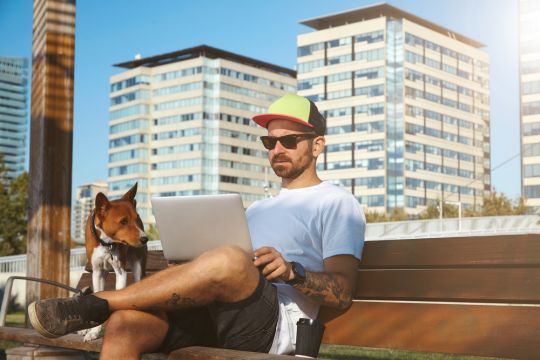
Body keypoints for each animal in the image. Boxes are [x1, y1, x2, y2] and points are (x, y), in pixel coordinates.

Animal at [79, 183, 149, 340]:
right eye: (123, 221)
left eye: (137, 219)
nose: (145, 238)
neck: (107, 243)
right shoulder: (97, 272)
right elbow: (98, 297)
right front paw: (93, 331)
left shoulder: (121, 271)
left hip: (138, 265)